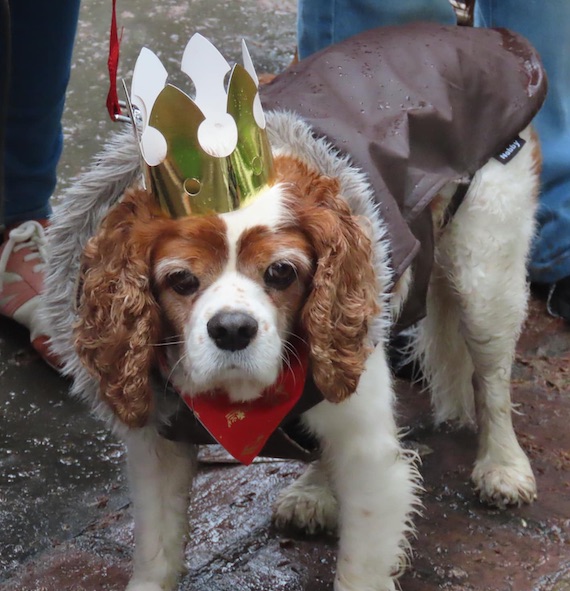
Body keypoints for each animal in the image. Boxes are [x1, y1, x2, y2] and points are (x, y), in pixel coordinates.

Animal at [43, 24, 540, 591]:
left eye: (282, 272)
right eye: (180, 280)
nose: (232, 330)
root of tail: (475, 32)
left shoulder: (372, 458)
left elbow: (361, 567)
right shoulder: (158, 444)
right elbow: (155, 554)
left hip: (485, 276)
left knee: (493, 378)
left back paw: (503, 467)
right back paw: (316, 492)